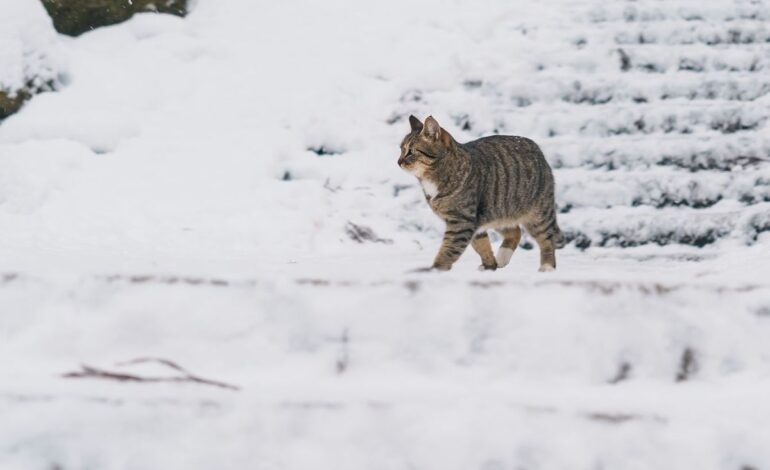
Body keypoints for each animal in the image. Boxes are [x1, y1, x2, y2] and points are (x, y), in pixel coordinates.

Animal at [400, 114, 560, 274]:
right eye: (401, 149)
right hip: (498, 209)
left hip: (538, 214)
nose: (398, 161)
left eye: (411, 151)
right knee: (515, 232)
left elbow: (449, 249)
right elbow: (481, 245)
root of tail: (538, 149)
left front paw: (435, 270)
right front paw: (490, 266)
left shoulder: (462, 221)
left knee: (547, 239)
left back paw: (547, 266)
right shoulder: (472, 222)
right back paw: (502, 258)